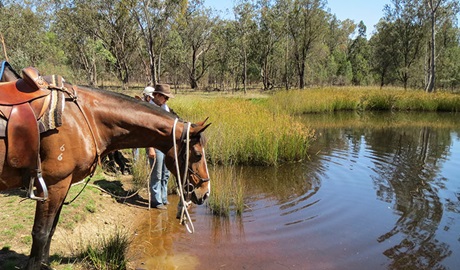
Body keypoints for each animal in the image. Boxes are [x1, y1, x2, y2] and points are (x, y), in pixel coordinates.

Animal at [0, 67, 210, 268]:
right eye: (198, 155)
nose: (205, 192)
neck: (85, 118)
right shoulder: (53, 185)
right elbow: (41, 233)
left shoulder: (63, 186)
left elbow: (51, 230)